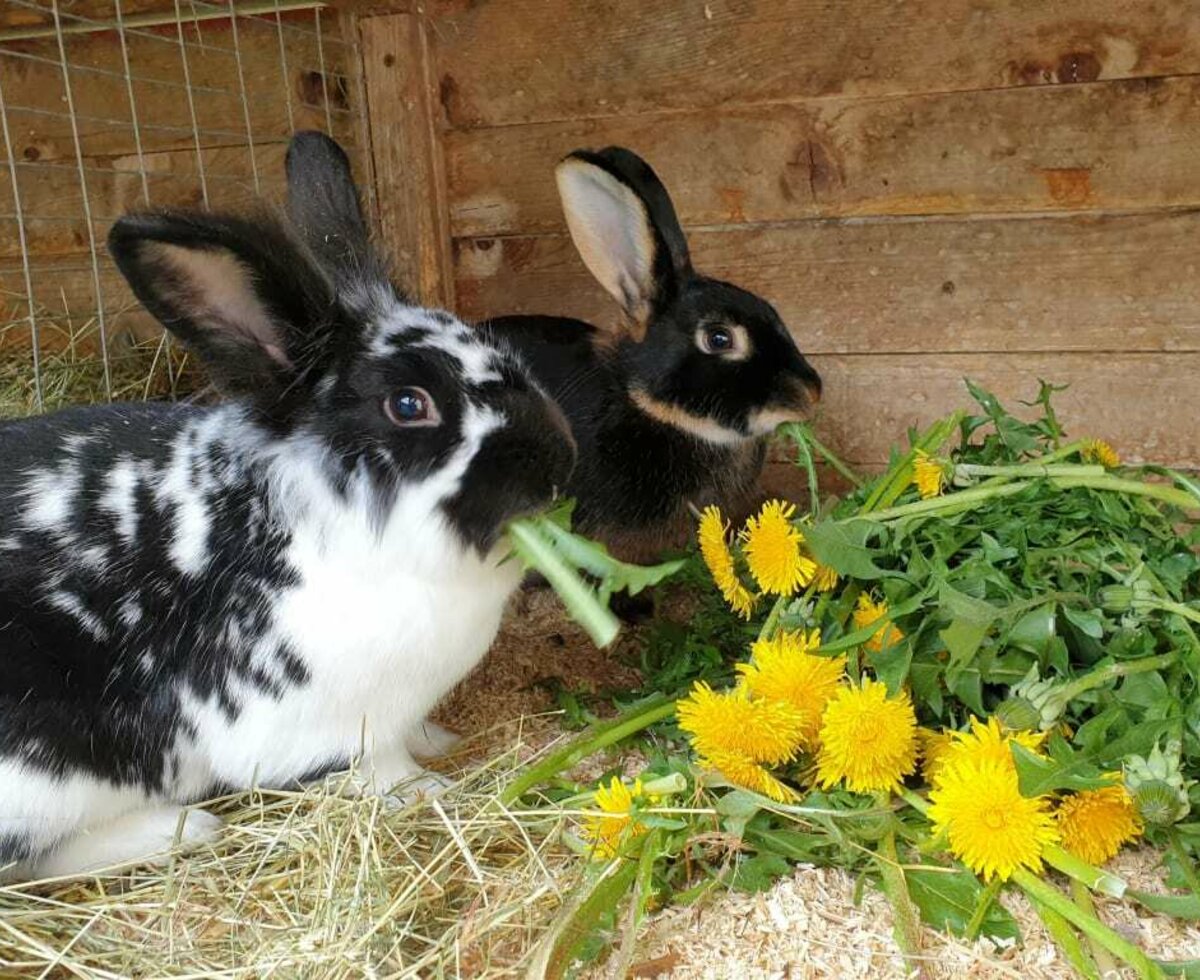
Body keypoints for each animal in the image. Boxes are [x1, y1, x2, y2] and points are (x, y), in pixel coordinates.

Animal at [0, 131, 576, 878]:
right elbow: (379, 770)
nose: (559, 465)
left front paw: (440, 741)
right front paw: (429, 789)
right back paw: (181, 828)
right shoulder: (319, 725)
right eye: (408, 404)